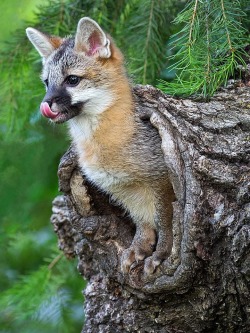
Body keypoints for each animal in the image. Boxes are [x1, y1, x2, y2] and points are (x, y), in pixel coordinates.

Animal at [25, 16, 174, 274]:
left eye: (72, 80)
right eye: (46, 83)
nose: (46, 104)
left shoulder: (161, 178)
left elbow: (165, 222)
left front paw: (162, 253)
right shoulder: (123, 190)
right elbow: (143, 223)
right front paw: (139, 247)